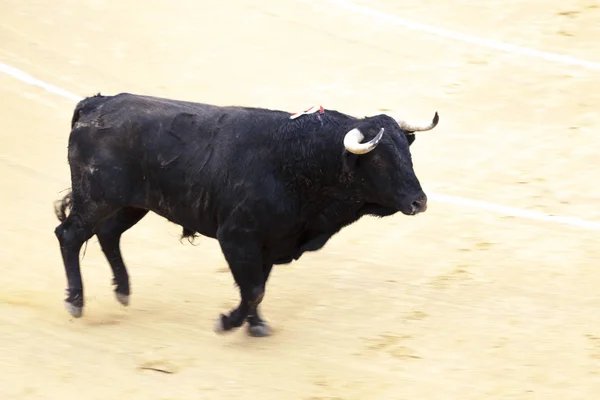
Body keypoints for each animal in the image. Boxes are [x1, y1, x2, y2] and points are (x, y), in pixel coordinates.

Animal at [54, 92, 438, 336]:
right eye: (380, 160)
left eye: (407, 152)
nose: (419, 202)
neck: (303, 160)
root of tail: (95, 104)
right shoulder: (237, 237)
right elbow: (252, 288)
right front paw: (229, 322)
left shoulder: (271, 243)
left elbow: (258, 287)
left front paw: (253, 324)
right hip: (97, 199)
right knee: (69, 235)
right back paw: (75, 301)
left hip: (132, 204)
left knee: (108, 233)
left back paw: (122, 290)